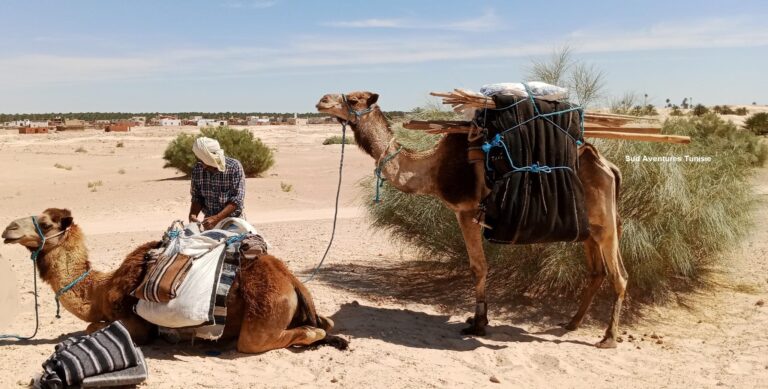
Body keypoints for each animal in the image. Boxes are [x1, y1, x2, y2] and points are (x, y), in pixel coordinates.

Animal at [4, 208, 346, 354]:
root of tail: (291, 281)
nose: (8, 228)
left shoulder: (136, 326)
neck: (101, 291)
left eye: (46, 222)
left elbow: (91, 327)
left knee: (294, 334)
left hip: (264, 317)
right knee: (326, 322)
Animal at [318, 91, 632, 348]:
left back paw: (608, 338)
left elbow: (478, 267)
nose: (322, 100)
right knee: (597, 272)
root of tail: (609, 167)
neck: (431, 168)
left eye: (353, 99)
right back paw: (572, 323)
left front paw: (478, 324)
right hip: (590, 227)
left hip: (604, 222)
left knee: (619, 275)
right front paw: (478, 319)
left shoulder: (466, 211)